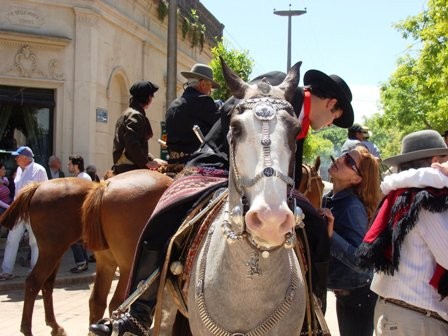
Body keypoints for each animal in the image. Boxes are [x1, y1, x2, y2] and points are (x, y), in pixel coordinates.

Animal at [0, 171, 172, 336]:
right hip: (119, 263)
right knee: (35, 283)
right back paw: (28, 330)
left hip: (63, 254)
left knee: (63, 290)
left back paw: (56, 327)